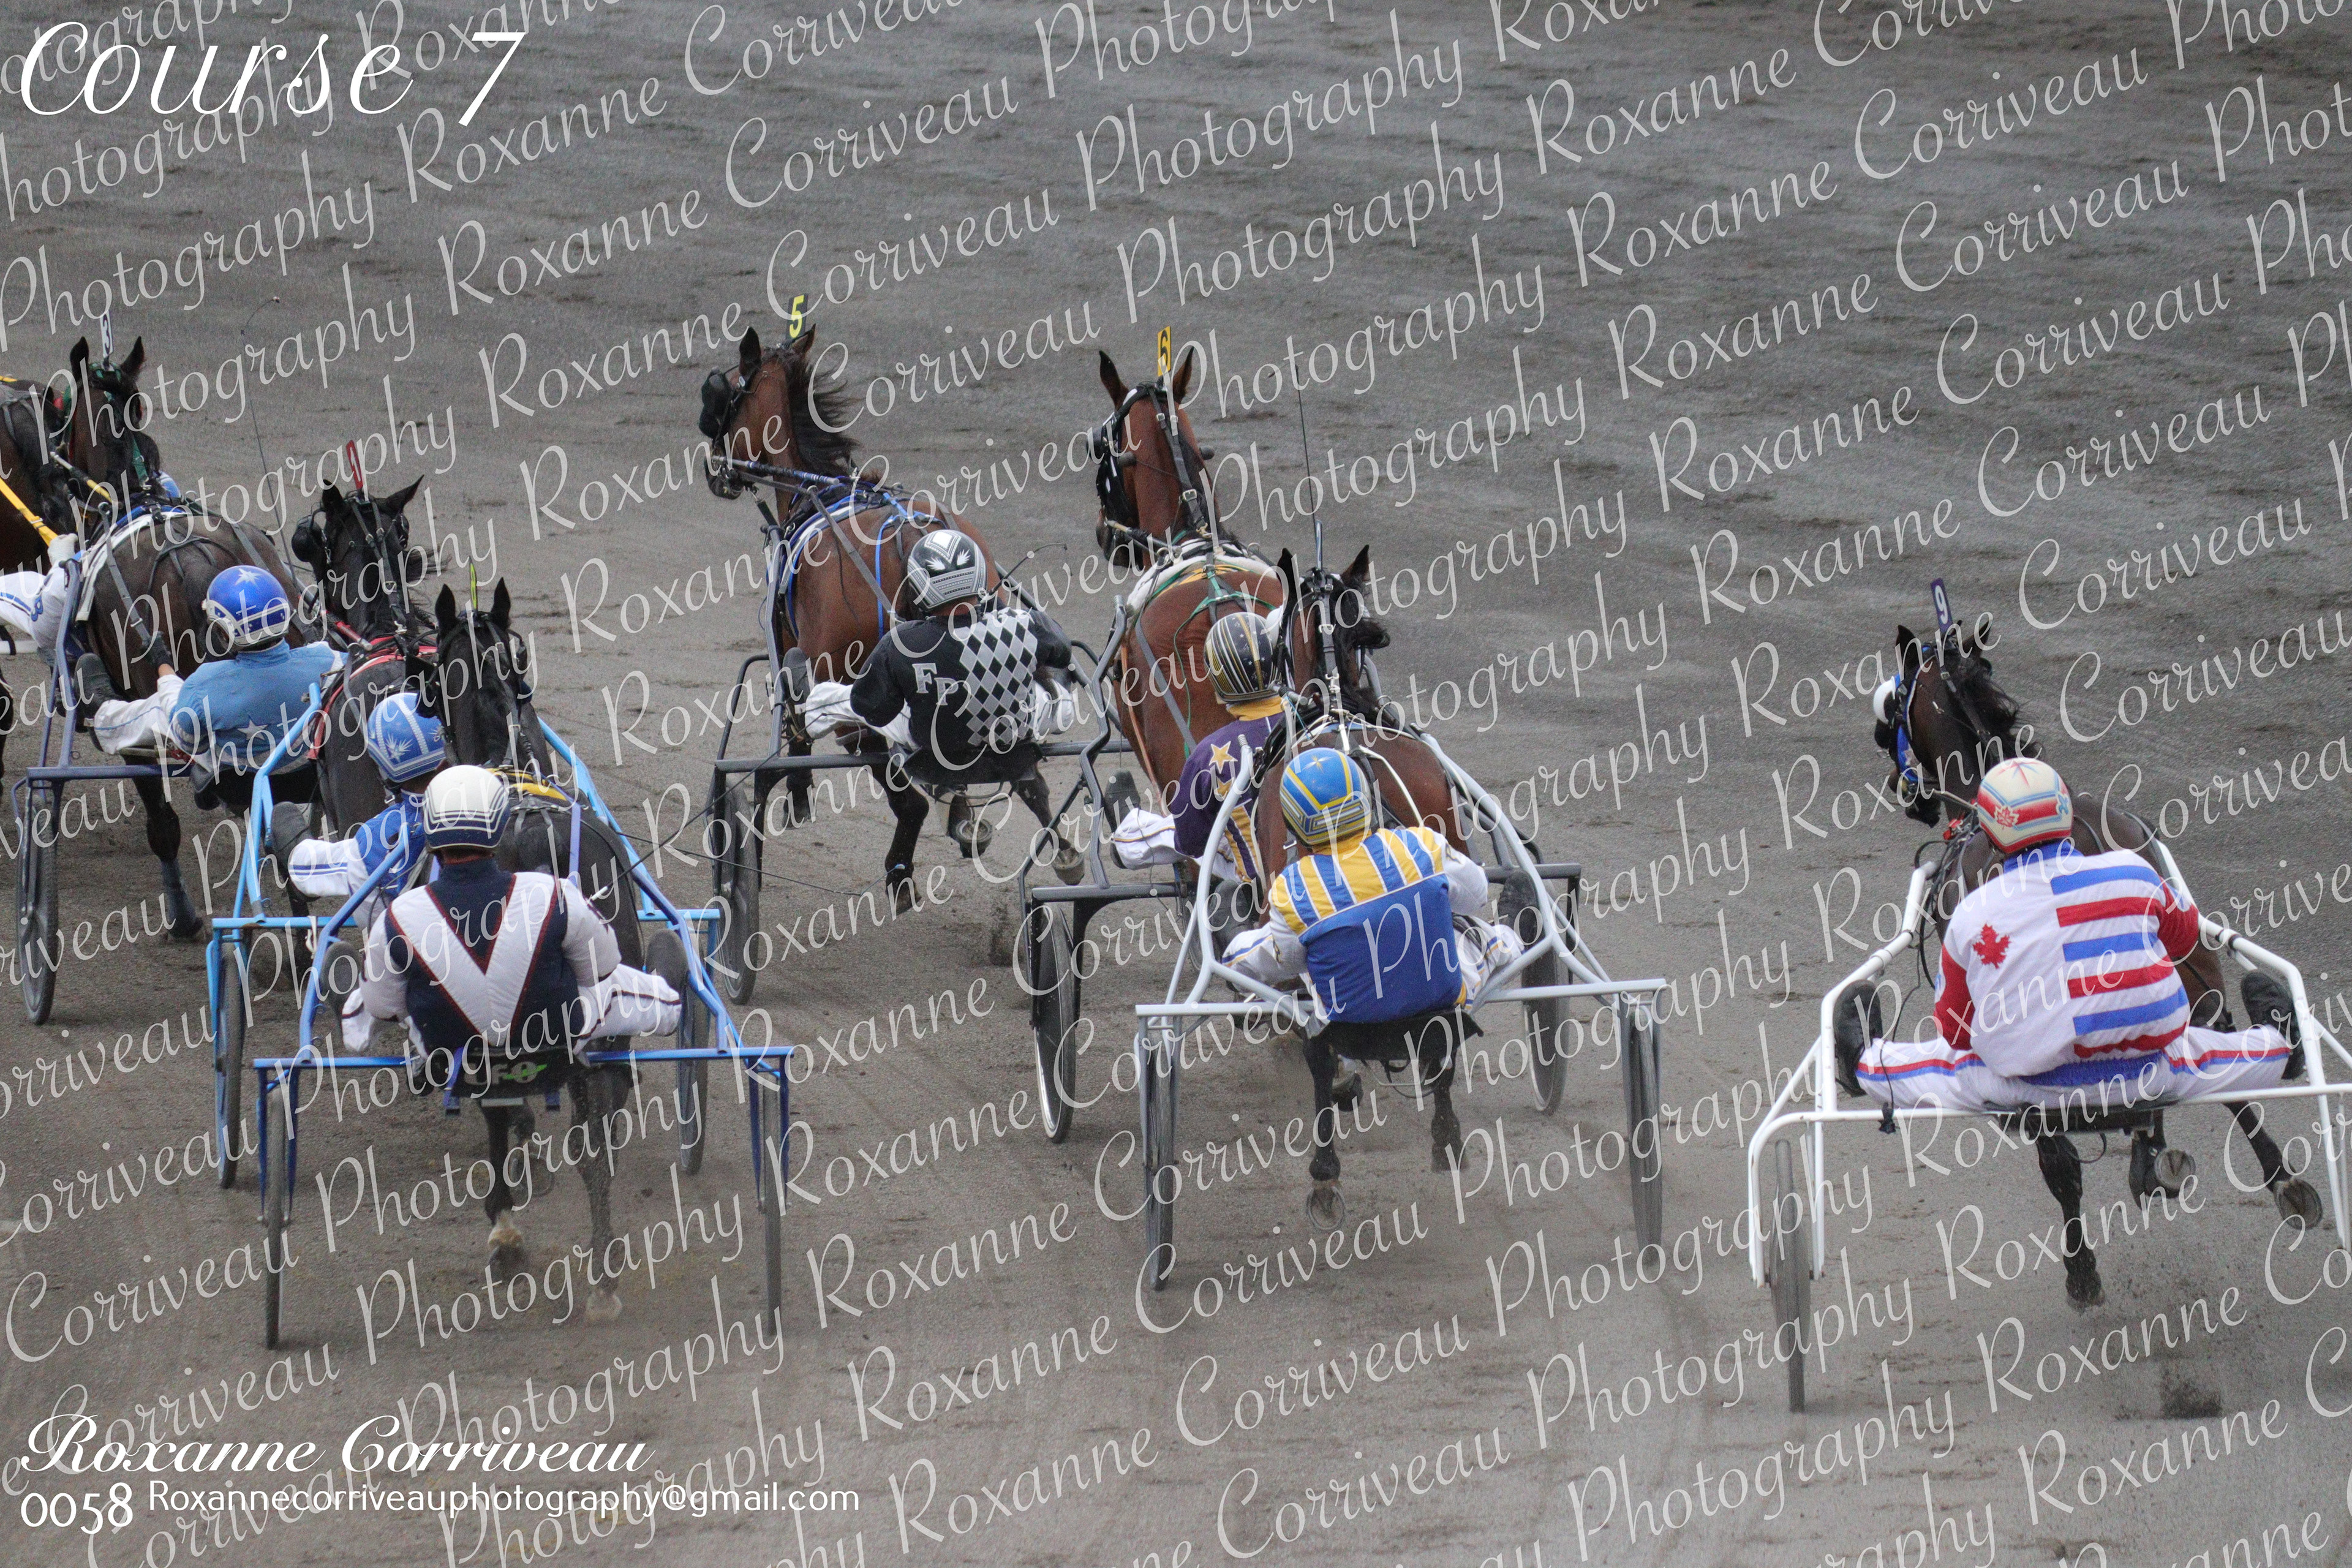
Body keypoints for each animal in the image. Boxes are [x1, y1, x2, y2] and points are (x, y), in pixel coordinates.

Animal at [700, 324, 1071, 917]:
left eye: (723, 394)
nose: (716, 470)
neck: (820, 491)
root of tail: (912, 530)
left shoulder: (795, 648)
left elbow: (796, 727)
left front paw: (794, 792)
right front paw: (962, 812)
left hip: (853, 688)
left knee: (894, 780)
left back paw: (900, 869)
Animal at [1873, 617, 2323, 1307]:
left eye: (1893, 709)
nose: (1910, 795)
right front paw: (2152, 1155)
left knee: (2061, 1159)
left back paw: (2084, 1262)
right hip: (2195, 970)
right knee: (2224, 1069)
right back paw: (2278, 1181)